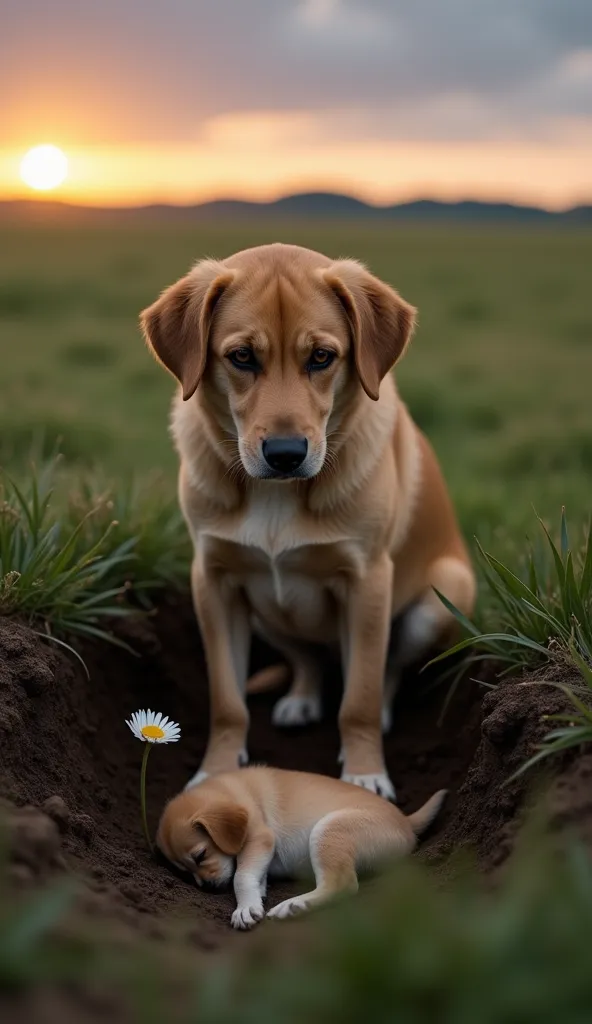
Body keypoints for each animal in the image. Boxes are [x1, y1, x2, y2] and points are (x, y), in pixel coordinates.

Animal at [141, 241, 475, 798]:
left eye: (322, 357)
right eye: (242, 356)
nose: (284, 454)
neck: (277, 494)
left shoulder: (367, 581)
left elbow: (359, 698)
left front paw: (364, 773)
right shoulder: (213, 581)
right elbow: (227, 700)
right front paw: (218, 769)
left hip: (442, 596)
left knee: (384, 671)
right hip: (265, 613)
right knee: (308, 659)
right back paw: (302, 697)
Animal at [154, 770, 444, 929]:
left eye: (200, 855)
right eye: (185, 872)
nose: (208, 888)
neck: (230, 791)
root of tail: (406, 821)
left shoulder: (260, 837)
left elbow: (241, 876)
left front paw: (245, 907)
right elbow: (253, 874)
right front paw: (258, 893)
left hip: (328, 830)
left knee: (342, 884)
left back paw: (295, 905)